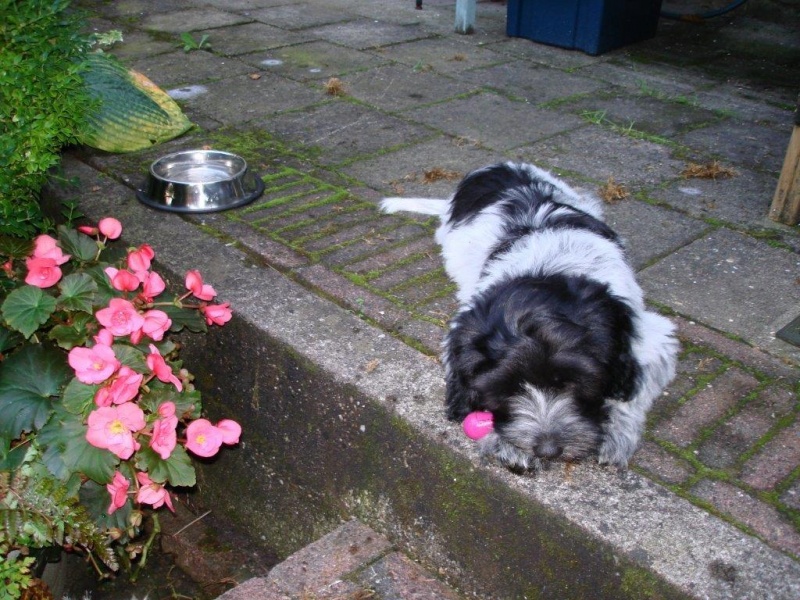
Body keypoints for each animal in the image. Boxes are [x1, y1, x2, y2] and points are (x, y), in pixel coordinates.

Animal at [381, 162, 678, 472]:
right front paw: (507, 443)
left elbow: (637, 388)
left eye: (572, 383)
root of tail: (496, 167)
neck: (548, 270)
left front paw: (616, 432)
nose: (548, 450)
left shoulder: (648, 334)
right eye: (509, 387)